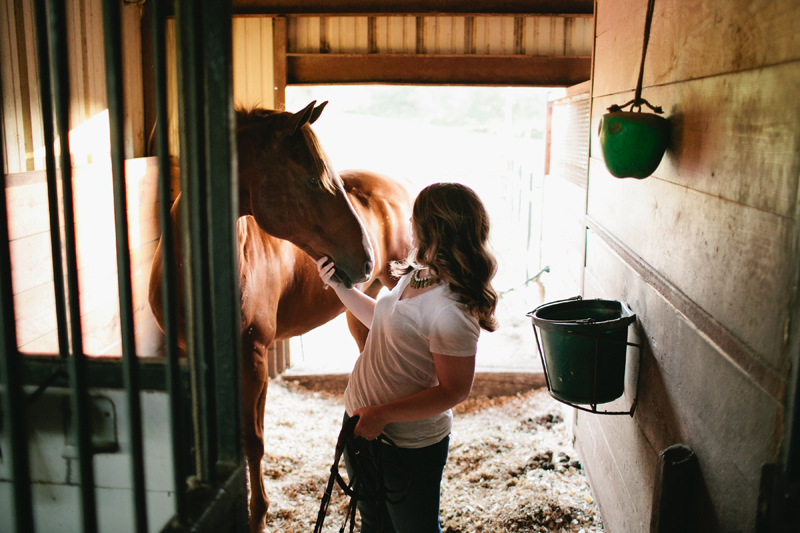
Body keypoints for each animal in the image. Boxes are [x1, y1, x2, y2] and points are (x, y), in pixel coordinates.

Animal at [149, 101, 412, 532]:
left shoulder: (252, 359)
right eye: (312, 180)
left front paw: (256, 516)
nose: (366, 258)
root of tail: (400, 185)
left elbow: (252, 442)